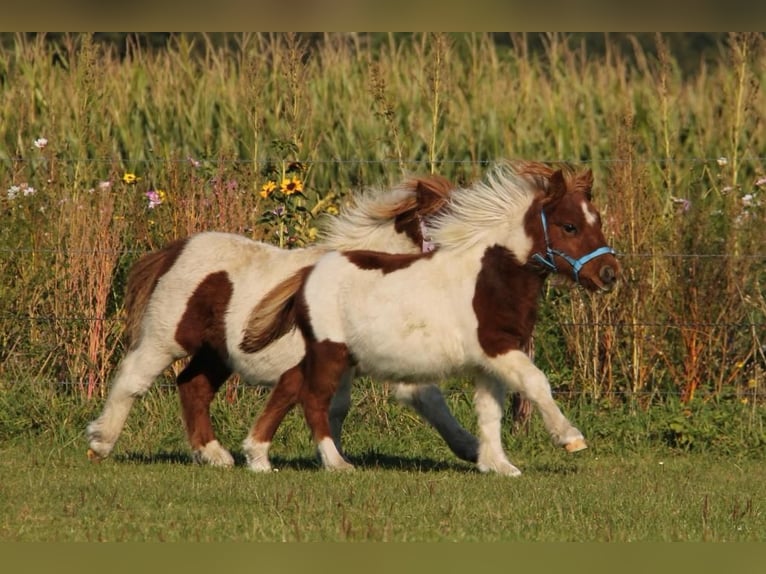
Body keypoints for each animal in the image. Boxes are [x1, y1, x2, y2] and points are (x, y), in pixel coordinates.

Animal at [85, 177, 480, 468]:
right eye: (446, 223)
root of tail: (174, 251)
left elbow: (353, 404)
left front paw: (473, 449)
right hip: (166, 339)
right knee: (134, 377)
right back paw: (101, 442)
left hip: (217, 353)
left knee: (193, 386)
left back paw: (214, 455)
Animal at [243, 161, 620, 476]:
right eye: (569, 226)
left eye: (598, 221)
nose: (609, 274)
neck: (489, 277)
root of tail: (308, 272)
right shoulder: (497, 347)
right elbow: (535, 382)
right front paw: (570, 438)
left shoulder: (489, 361)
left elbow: (489, 410)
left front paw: (496, 464)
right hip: (330, 352)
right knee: (313, 398)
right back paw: (336, 463)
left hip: (328, 354)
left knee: (290, 383)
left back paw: (258, 456)